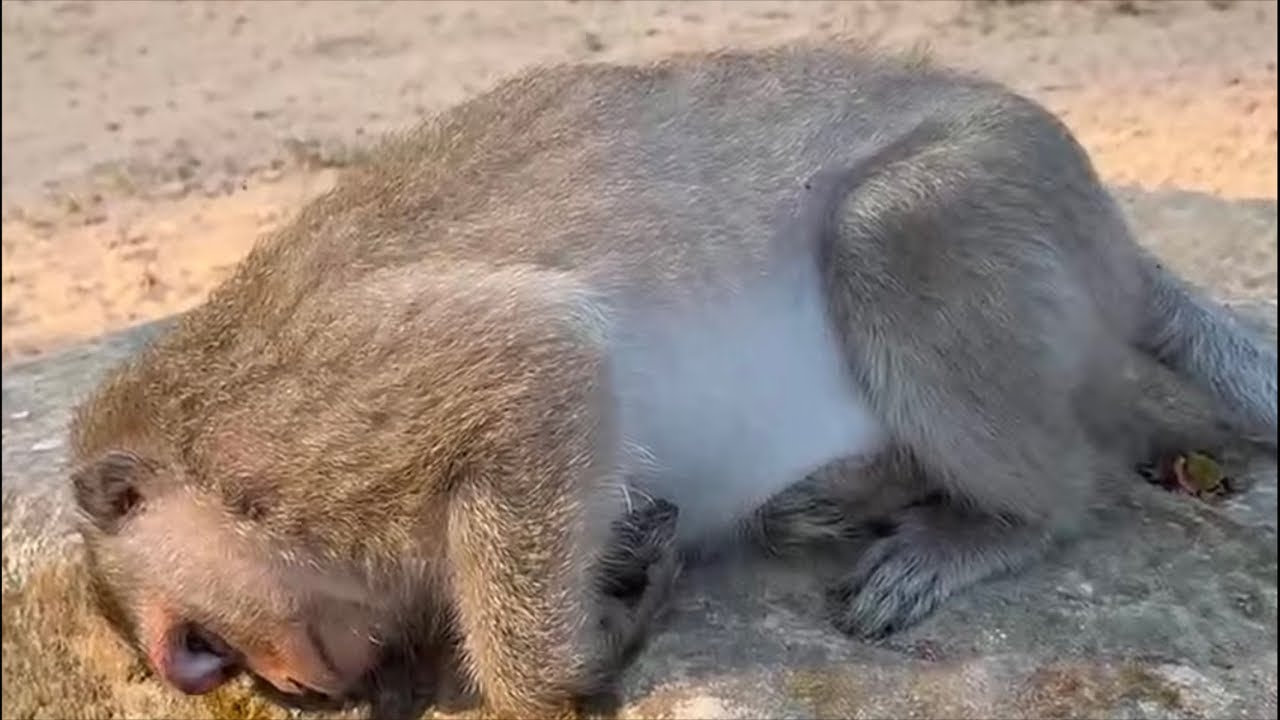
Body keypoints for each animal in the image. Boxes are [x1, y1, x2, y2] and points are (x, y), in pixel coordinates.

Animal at [66, 43, 1278, 718]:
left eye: (197, 652)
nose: (298, 690)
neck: (199, 458)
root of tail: (1116, 234)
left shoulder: (302, 427)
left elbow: (535, 360)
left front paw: (550, 677)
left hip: (995, 193)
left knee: (895, 238)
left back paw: (1001, 519)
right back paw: (841, 494)